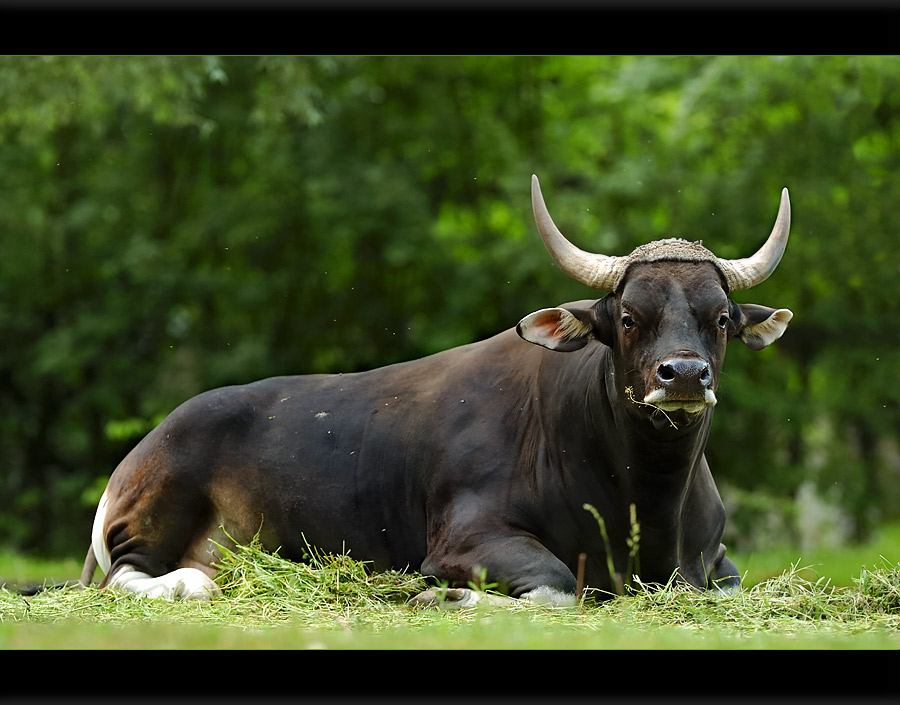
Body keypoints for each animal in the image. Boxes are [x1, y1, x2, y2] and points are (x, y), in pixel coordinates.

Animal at [79, 175, 796, 604]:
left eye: (721, 318)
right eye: (627, 316)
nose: (684, 375)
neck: (643, 503)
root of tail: (146, 442)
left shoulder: (718, 563)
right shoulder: (467, 540)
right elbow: (556, 584)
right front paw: (443, 595)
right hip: (155, 507)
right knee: (130, 575)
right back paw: (191, 582)